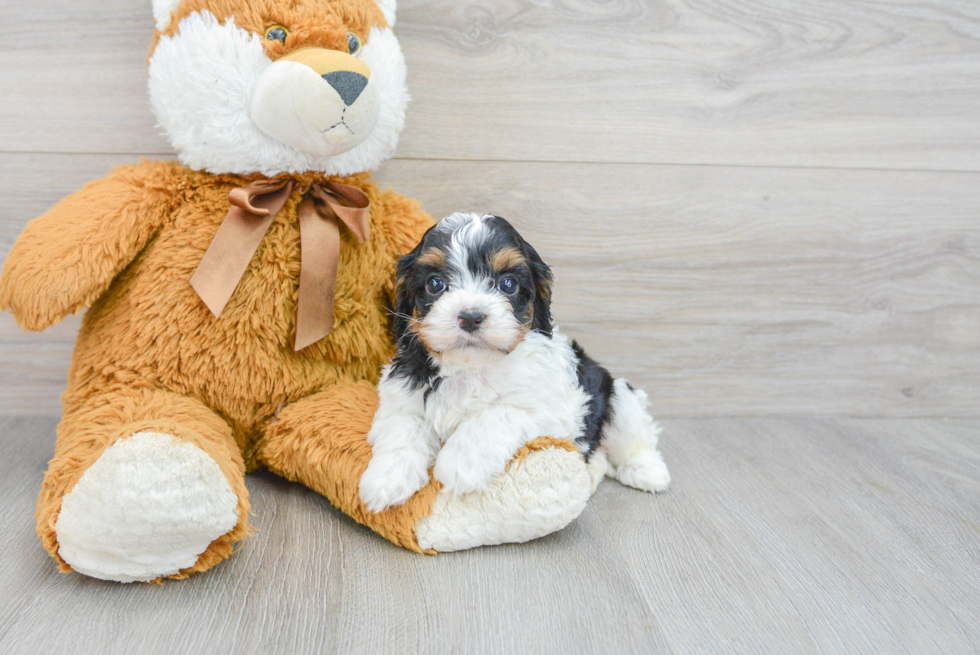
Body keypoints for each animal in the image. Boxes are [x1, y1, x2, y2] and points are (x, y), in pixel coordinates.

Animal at [356, 213, 668, 516]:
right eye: (435, 284)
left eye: (508, 284)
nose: (471, 316)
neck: (473, 366)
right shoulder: (401, 394)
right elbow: (402, 426)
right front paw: (386, 480)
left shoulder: (555, 408)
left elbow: (499, 413)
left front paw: (461, 462)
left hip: (617, 395)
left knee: (632, 436)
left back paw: (647, 471)